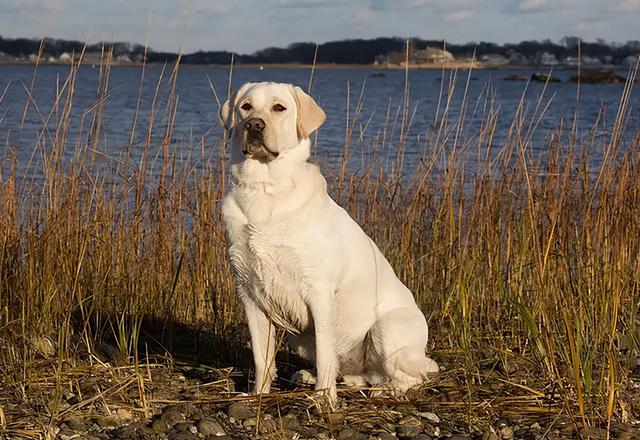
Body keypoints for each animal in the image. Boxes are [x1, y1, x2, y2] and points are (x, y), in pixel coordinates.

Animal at [221, 81, 440, 400]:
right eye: (246, 107)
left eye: (279, 107)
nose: (254, 125)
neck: (265, 188)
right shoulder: (249, 293)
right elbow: (262, 356)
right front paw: (258, 394)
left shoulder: (319, 290)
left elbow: (326, 352)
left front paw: (324, 398)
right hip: (302, 340)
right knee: (359, 373)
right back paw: (318, 377)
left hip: (388, 329)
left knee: (412, 376)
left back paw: (386, 390)